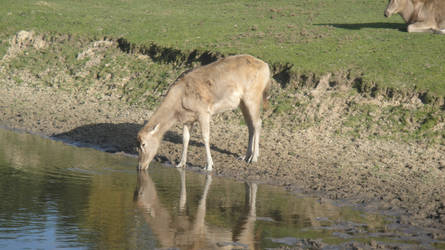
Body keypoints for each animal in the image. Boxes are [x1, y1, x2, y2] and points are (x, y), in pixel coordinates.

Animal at [135, 54, 268, 172]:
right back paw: (245, 156)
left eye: (143, 144)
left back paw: (254, 158)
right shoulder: (188, 118)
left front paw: (209, 165)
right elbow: (185, 138)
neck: (178, 106)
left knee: (258, 122)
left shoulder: (203, 112)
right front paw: (181, 163)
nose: (140, 166)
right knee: (250, 125)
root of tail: (266, 66)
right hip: (242, 103)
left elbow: (205, 137)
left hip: (252, 97)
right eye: (137, 144)